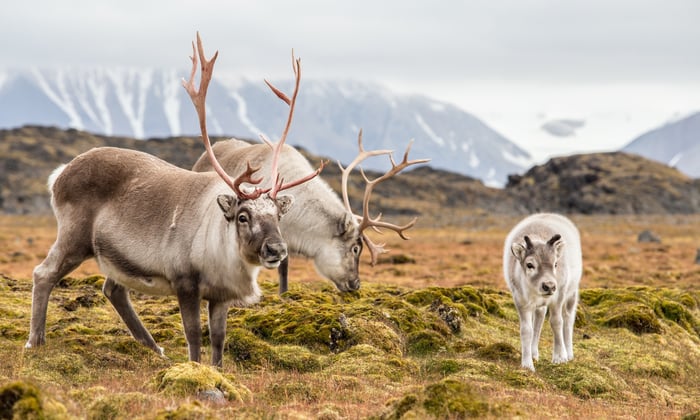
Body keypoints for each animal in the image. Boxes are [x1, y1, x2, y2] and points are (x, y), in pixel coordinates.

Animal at [24, 33, 322, 367]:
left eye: (278, 214)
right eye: (243, 216)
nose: (277, 249)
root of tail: (60, 175)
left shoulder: (221, 295)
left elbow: (218, 338)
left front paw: (217, 370)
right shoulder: (185, 282)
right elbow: (193, 334)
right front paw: (194, 368)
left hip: (114, 256)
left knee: (113, 289)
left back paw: (154, 347)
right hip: (74, 238)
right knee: (44, 273)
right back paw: (35, 341)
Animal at [503, 213, 582, 371]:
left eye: (556, 264)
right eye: (529, 264)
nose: (549, 286)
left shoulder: (558, 297)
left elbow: (556, 323)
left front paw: (559, 357)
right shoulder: (521, 301)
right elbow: (526, 330)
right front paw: (527, 364)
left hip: (572, 294)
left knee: (568, 320)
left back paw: (569, 353)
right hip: (540, 304)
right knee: (539, 319)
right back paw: (534, 353)